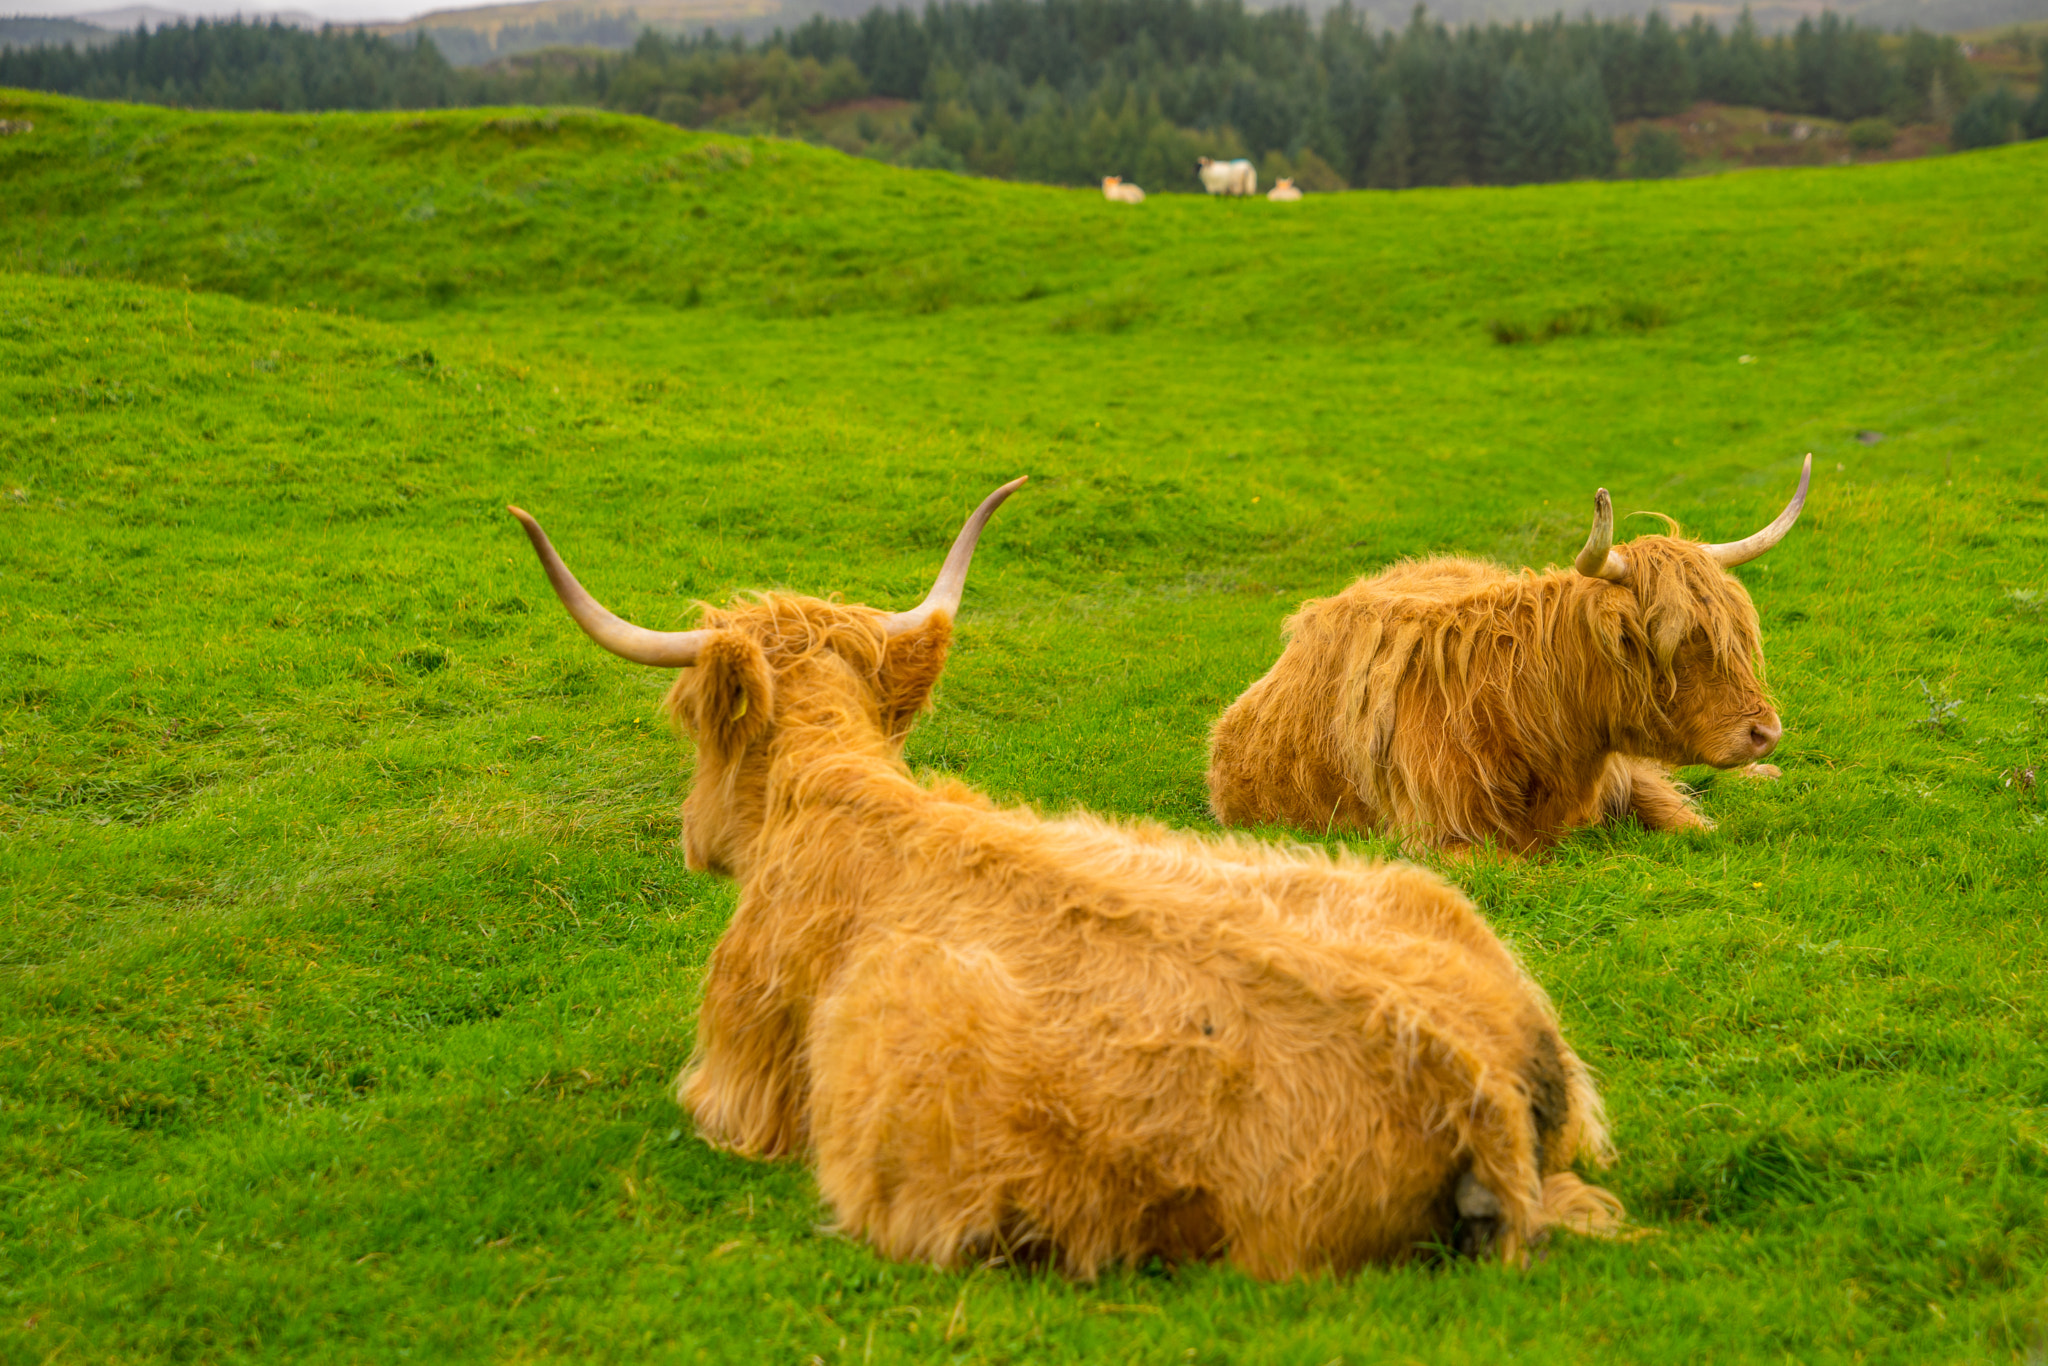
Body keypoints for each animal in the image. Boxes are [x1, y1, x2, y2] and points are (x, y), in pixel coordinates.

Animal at [1204, 458, 1818, 856]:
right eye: (1675, 642)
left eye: (1736, 635)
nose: (1766, 732)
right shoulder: (1440, 838)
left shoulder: (1631, 777)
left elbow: (1694, 823)